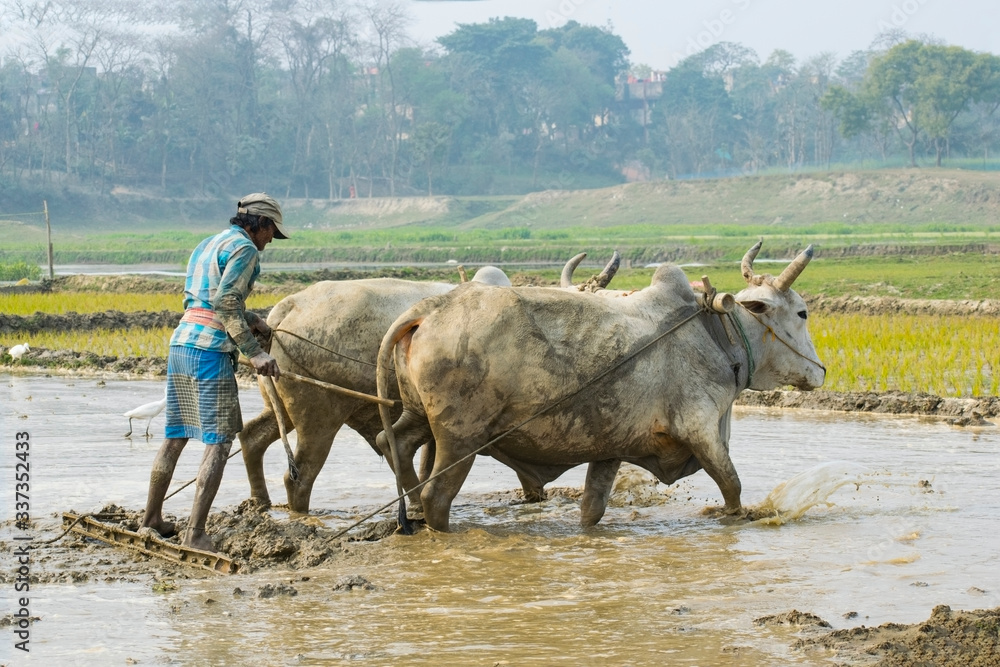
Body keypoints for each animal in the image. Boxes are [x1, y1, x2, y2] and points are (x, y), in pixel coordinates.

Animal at [238, 254, 618, 513]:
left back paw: (260, 502)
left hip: (282, 405)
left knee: (252, 437)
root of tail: (288, 306)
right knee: (299, 474)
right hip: (319, 417)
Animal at [375, 241, 825, 532]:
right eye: (802, 312)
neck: (716, 332)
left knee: (392, 442)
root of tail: (430, 309)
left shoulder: (612, 446)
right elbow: (731, 485)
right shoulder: (700, 427)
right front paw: (735, 519)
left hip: (419, 415)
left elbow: (592, 507)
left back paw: (410, 510)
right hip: (460, 438)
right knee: (437, 494)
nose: (821, 370)